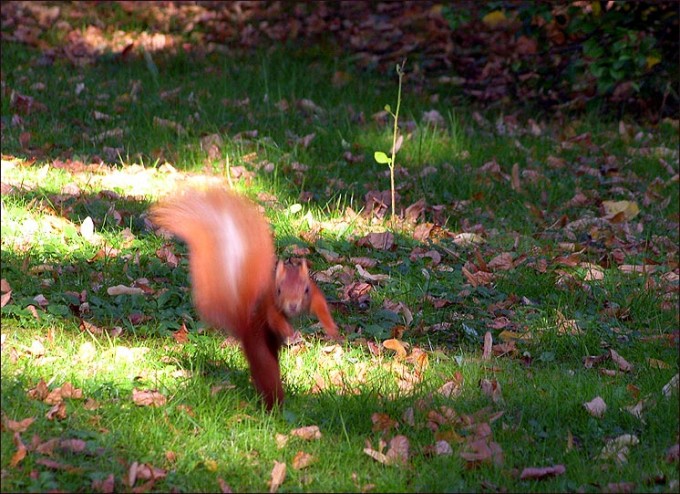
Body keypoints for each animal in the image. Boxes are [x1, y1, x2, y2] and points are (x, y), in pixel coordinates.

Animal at [150, 186, 339, 410]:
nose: (293, 306)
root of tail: (245, 327)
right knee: (267, 375)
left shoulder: (314, 295)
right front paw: (290, 332)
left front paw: (331, 329)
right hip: (260, 350)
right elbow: (276, 319)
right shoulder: (270, 305)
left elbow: (321, 306)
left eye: (306, 289)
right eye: (278, 290)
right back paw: (274, 406)